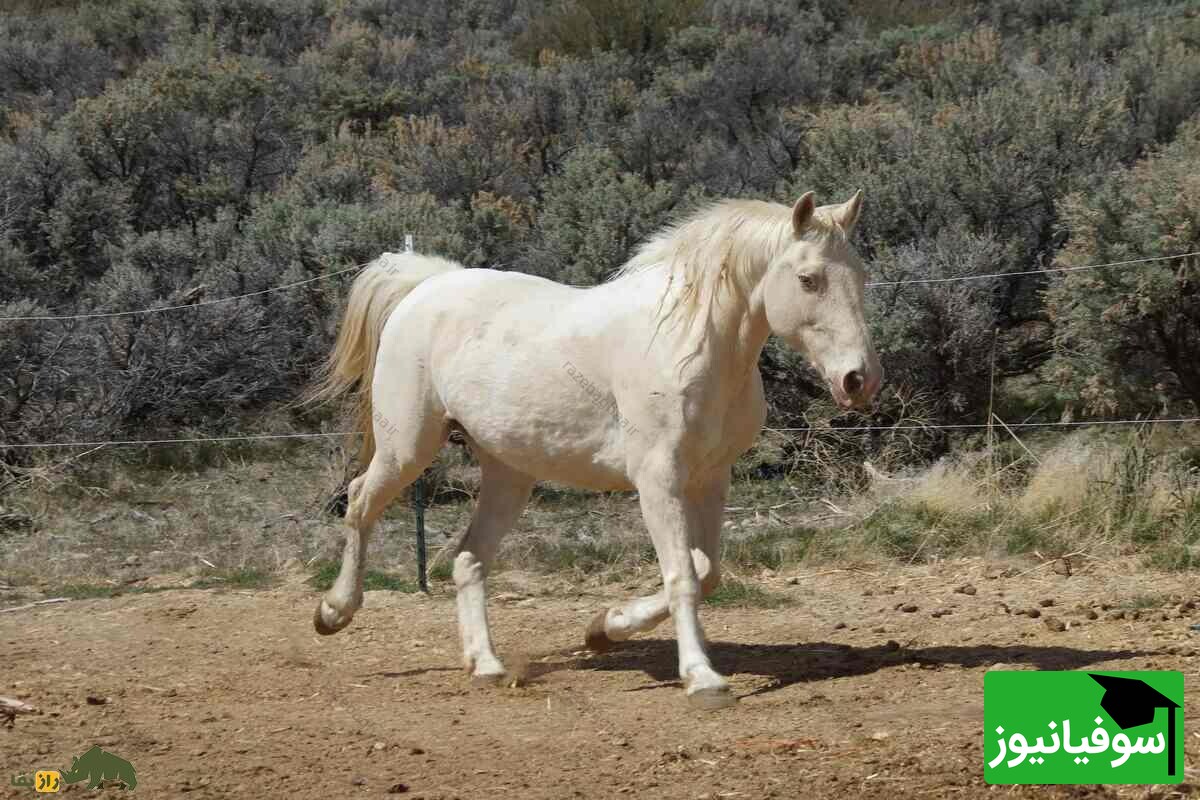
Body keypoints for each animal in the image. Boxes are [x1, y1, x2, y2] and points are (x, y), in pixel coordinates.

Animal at [309, 190, 883, 710]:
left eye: (860, 277)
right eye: (809, 279)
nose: (860, 380)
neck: (692, 342)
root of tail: (428, 283)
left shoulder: (711, 478)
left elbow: (706, 571)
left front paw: (605, 628)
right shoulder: (658, 478)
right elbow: (683, 576)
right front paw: (702, 679)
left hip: (508, 473)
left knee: (469, 559)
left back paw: (487, 665)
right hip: (408, 446)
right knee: (360, 503)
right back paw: (333, 612)